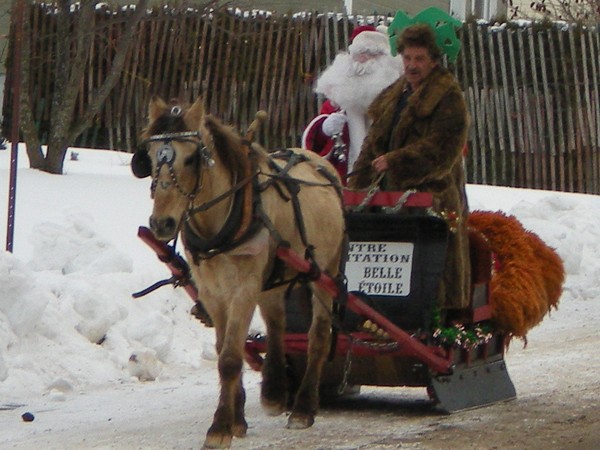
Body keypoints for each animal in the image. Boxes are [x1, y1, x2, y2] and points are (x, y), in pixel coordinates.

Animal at [132, 96, 346, 448]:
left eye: (191, 158)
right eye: (148, 157)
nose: (161, 223)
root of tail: (321, 162)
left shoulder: (244, 288)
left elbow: (231, 357)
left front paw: (219, 426)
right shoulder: (212, 292)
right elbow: (226, 350)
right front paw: (237, 418)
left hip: (324, 271)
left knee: (318, 335)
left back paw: (303, 407)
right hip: (274, 275)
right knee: (276, 323)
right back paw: (274, 391)